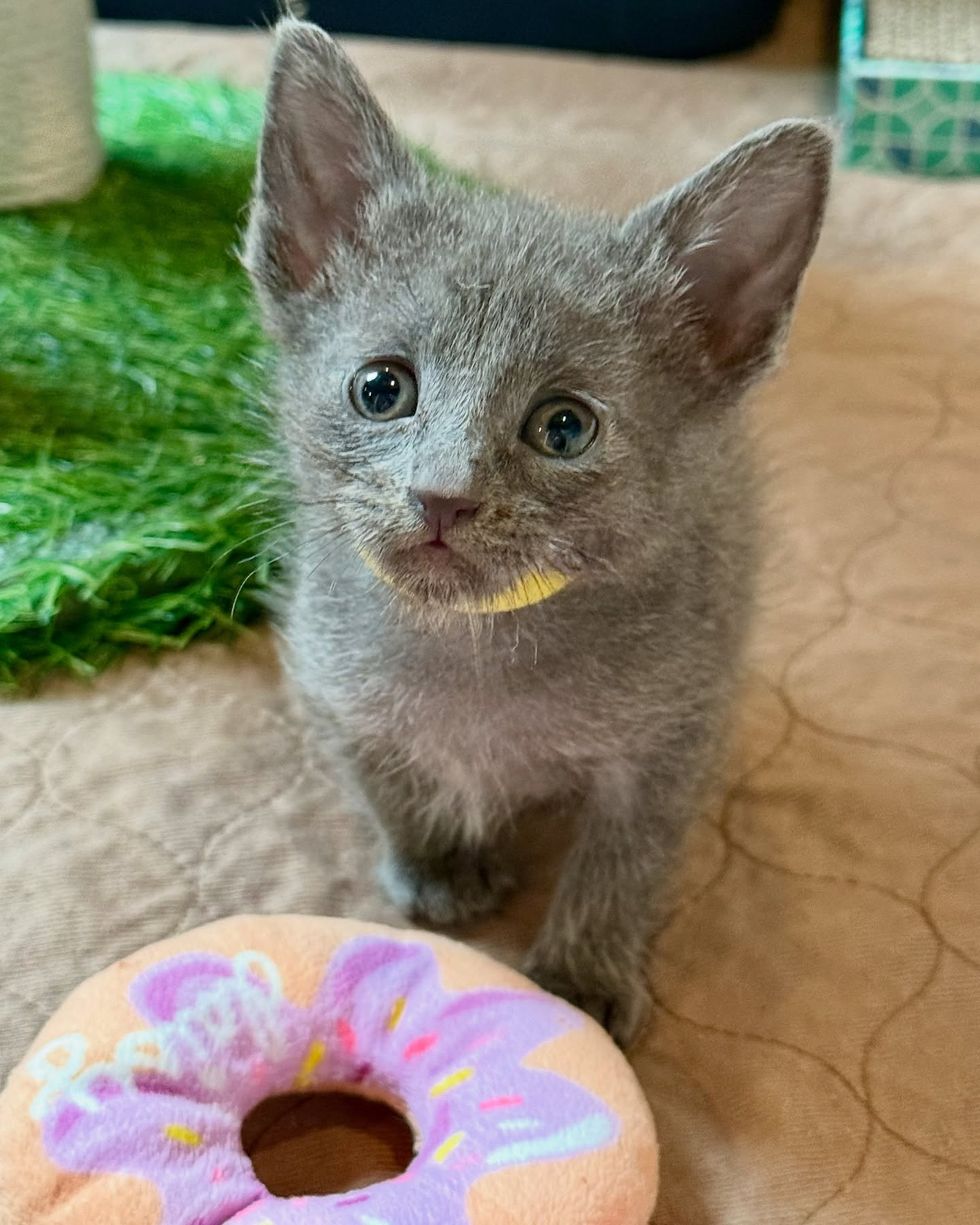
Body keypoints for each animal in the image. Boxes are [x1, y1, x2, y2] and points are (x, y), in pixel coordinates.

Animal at [241, 19, 833, 1043]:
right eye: (381, 387)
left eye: (564, 428)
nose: (442, 494)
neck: (476, 651)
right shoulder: (324, 670)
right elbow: (379, 772)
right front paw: (437, 865)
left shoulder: (679, 723)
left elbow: (629, 852)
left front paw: (583, 972)